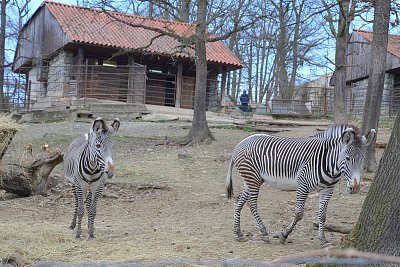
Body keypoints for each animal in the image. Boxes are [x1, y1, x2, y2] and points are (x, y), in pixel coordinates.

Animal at [227, 125, 376, 249]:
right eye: (347, 159)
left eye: (362, 159)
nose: (355, 188)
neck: (330, 165)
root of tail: (240, 143)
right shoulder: (302, 186)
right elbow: (299, 214)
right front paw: (284, 235)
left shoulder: (328, 189)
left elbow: (322, 216)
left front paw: (323, 240)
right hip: (253, 178)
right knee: (251, 204)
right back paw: (263, 232)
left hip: (252, 179)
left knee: (239, 200)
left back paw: (238, 233)